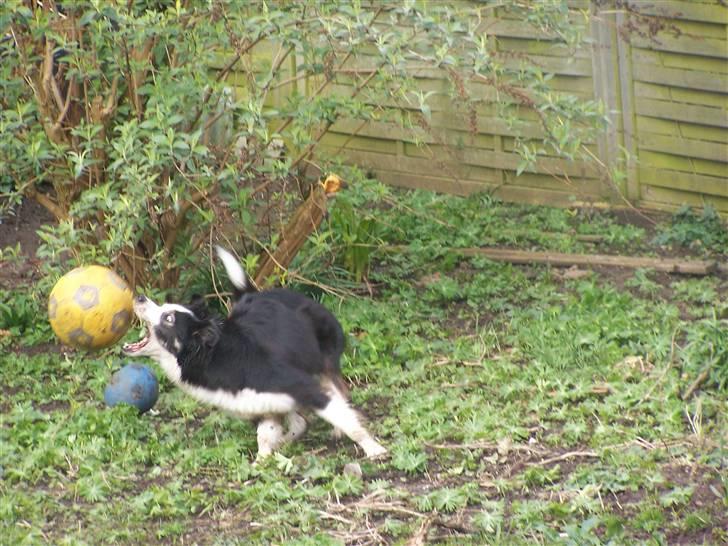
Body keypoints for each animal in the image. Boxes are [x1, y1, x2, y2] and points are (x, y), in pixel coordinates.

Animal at [123, 246, 386, 460]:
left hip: (324, 362)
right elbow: (266, 434)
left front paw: (374, 449)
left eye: (168, 318)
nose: (139, 296)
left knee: (339, 392)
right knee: (299, 421)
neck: (215, 357)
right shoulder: (261, 405)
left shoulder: (304, 387)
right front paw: (263, 460)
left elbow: (347, 421)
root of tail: (255, 293)